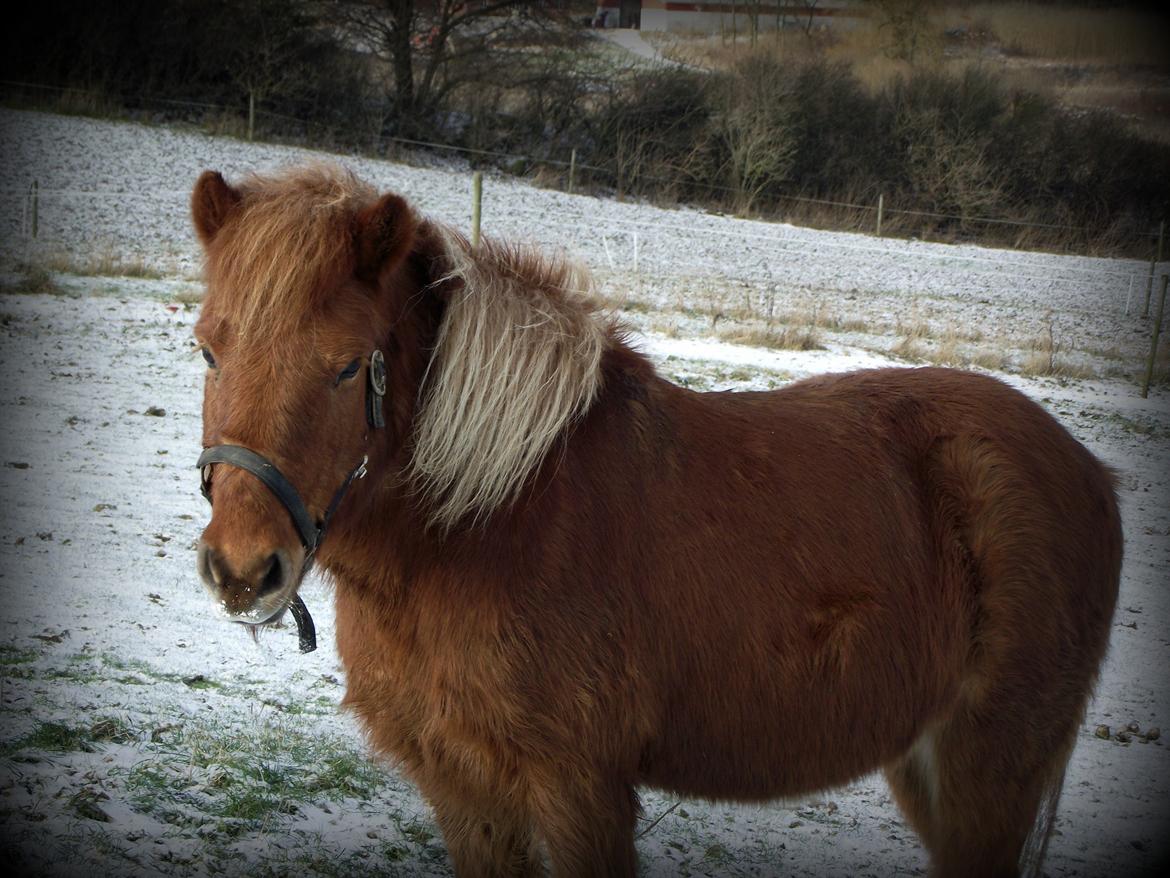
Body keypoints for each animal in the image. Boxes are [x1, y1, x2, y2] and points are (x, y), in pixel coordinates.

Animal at [191, 163, 1123, 875]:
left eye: (350, 367)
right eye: (207, 348)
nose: (243, 567)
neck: (491, 518)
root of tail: (1091, 469)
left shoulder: (578, 787)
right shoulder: (464, 788)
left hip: (986, 772)